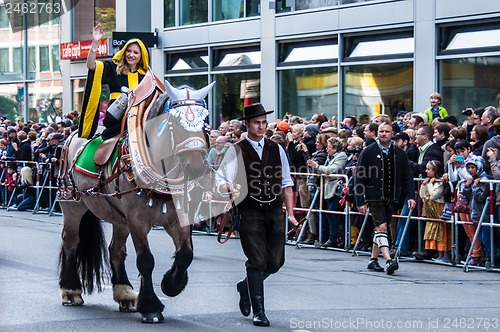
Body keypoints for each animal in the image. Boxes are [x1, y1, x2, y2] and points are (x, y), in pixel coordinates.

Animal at [58, 77, 215, 322]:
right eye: (176, 123)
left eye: (205, 121)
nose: (197, 167)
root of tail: (73, 136)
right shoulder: (137, 220)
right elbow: (146, 260)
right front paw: (150, 307)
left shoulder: (177, 218)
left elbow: (185, 254)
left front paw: (171, 284)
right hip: (73, 205)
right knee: (71, 242)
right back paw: (71, 290)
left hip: (119, 218)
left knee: (115, 250)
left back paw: (124, 293)